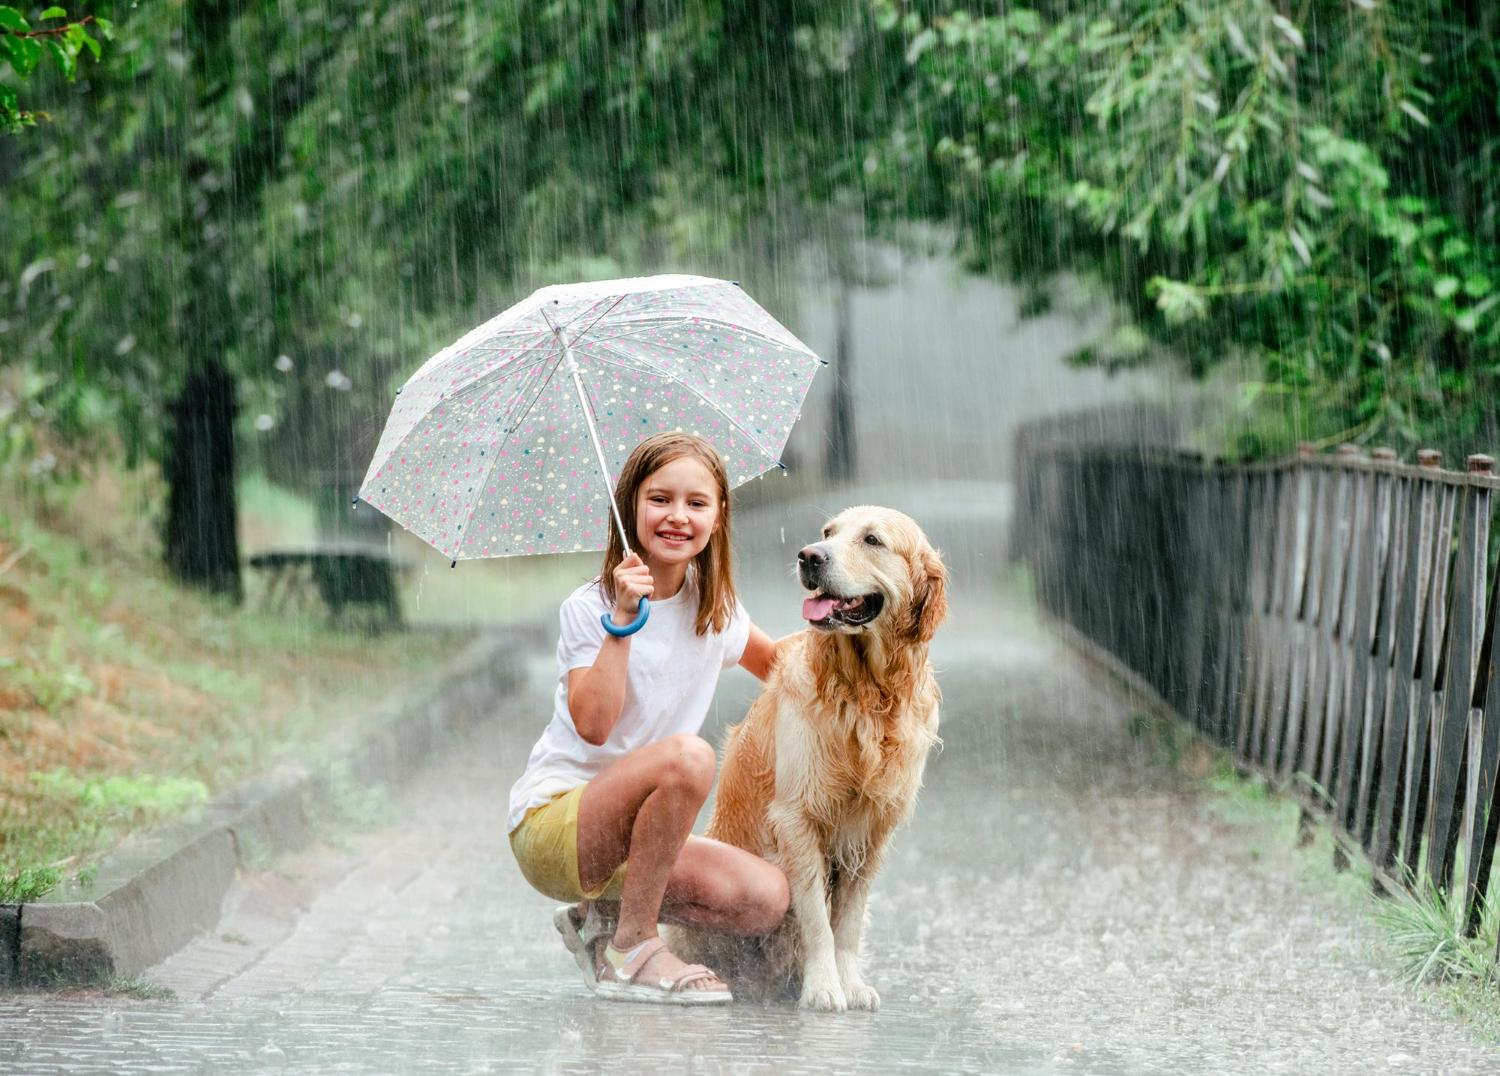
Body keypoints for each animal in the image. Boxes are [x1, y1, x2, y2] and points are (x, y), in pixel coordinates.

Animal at [672, 504, 942, 1008]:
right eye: (827, 533)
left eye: (872, 539)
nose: (809, 556)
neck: (865, 694)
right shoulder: (797, 817)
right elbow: (817, 916)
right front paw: (823, 987)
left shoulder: (872, 829)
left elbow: (848, 923)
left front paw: (849, 982)